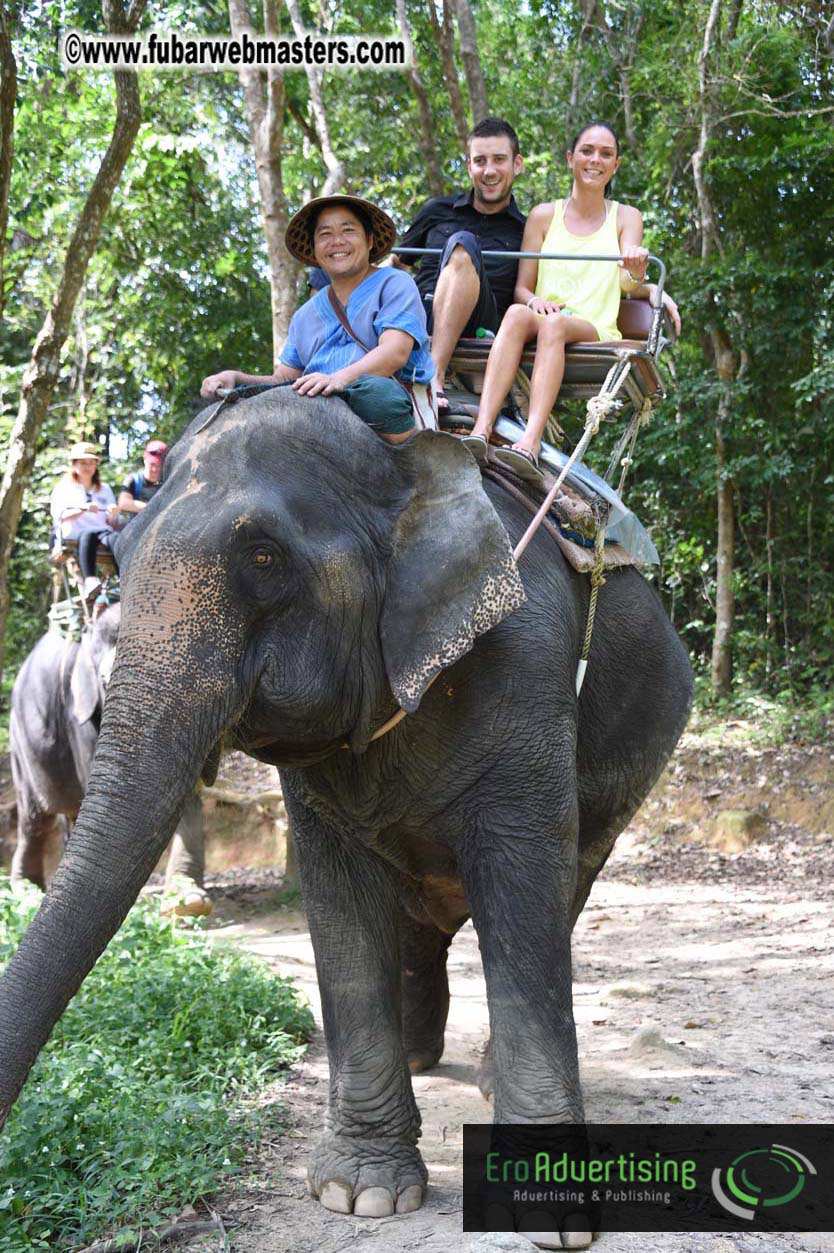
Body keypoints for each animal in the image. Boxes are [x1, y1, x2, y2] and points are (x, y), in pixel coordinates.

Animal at [8, 604, 208, 912]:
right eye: (105, 682)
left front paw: (190, 901)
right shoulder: (78, 714)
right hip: (20, 743)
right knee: (35, 818)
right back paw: (26, 893)